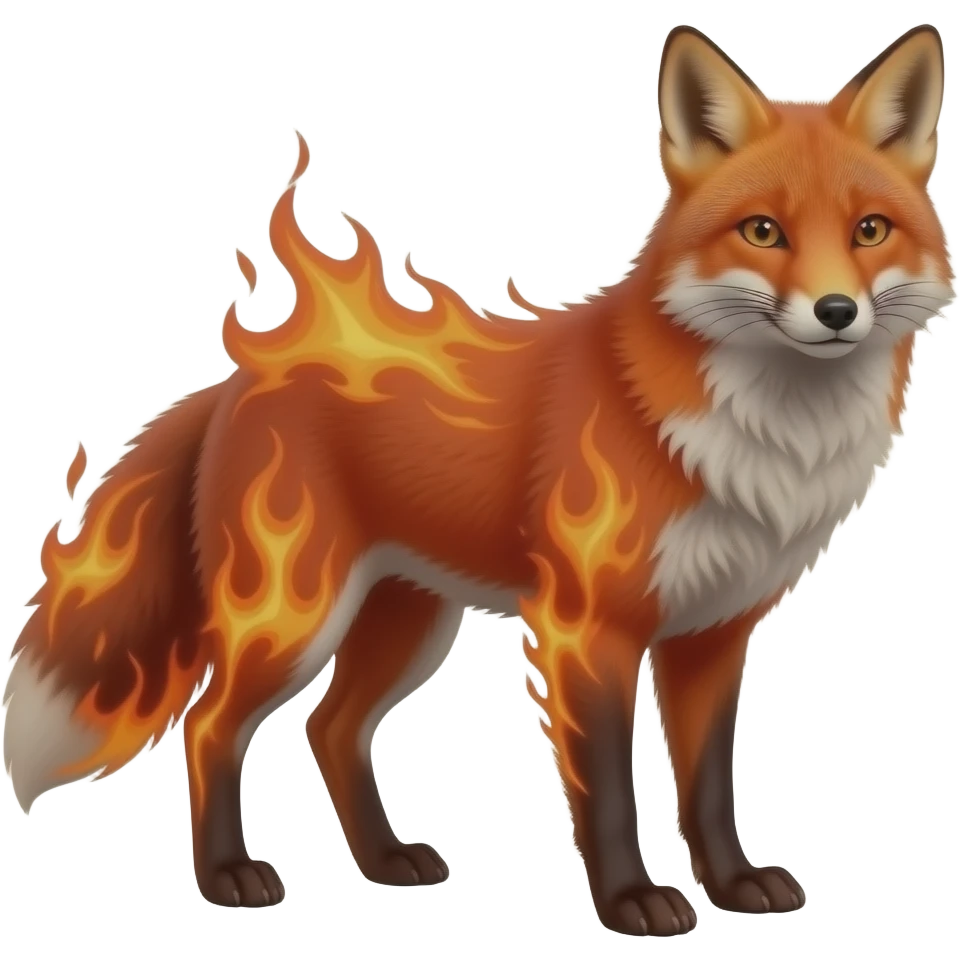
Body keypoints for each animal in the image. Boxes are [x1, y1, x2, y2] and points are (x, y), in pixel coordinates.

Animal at [2, 23, 955, 935]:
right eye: (763, 232)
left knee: (330, 728)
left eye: (870, 230)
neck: (760, 436)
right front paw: (632, 904)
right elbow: (608, 791)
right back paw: (228, 876)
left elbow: (709, 789)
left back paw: (385, 861)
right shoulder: (587, 628)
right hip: (291, 615)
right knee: (207, 727)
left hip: (407, 623)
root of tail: (242, 380)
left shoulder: (713, 634)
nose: (837, 312)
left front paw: (732, 885)